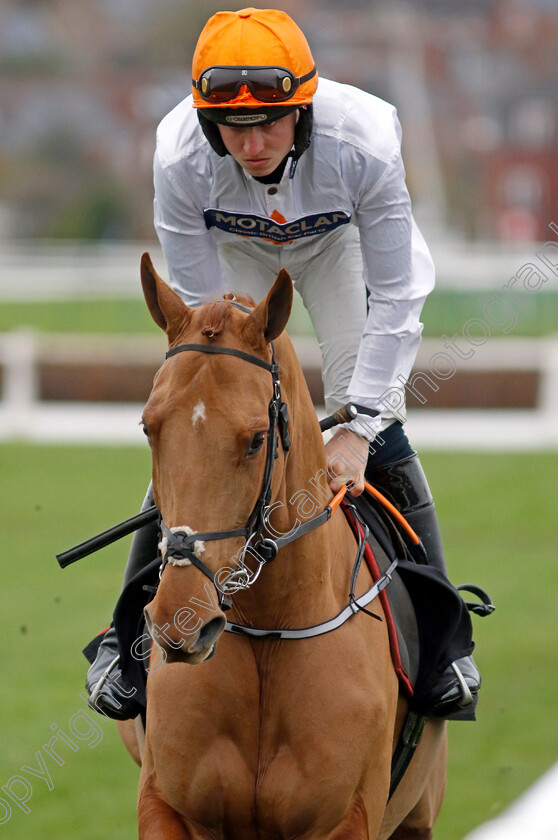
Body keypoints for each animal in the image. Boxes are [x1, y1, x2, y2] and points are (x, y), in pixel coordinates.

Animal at [121, 254, 446, 840]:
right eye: (148, 427)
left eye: (256, 439)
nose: (181, 619)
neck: (270, 628)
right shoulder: (166, 805)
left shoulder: (347, 818)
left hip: (418, 815)